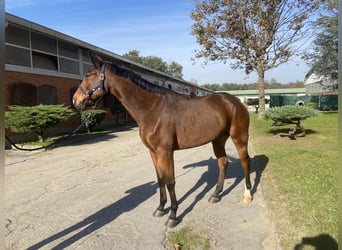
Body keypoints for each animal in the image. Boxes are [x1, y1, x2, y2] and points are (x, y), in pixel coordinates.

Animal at [73, 52, 251, 227]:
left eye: (88, 75)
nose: (76, 100)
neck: (153, 109)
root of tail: (236, 101)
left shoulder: (165, 152)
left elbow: (170, 181)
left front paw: (173, 216)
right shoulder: (153, 152)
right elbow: (160, 179)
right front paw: (160, 208)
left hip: (239, 138)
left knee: (245, 160)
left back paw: (248, 194)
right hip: (218, 140)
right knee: (223, 162)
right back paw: (216, 195)